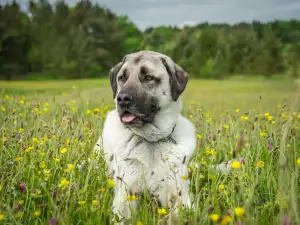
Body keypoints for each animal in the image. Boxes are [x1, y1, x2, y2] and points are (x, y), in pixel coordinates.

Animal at [94, 50, 197, 224]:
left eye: (148, 78)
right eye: (122, 78)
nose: (122, 99)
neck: (151, 141)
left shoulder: (179, 194)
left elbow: (176, 216)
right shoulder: (126, 194)